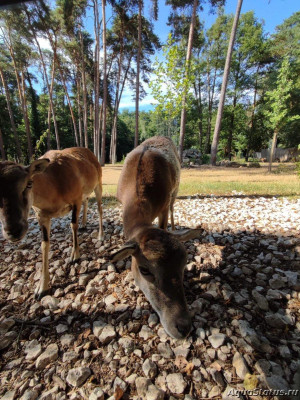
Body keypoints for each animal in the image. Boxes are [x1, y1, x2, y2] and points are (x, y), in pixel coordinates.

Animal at [0, 148, 103, 298]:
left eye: (29, 184)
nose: (14, 231)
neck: (54, 187)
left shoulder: (76, 199)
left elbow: (73, 225)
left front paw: (74, 256)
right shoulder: (41, 214)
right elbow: (44, 244)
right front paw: (41, 289)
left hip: (98, 182)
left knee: (99, 208)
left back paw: (100, 235)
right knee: (87, 200)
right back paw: (84, 224)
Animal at [110, 136, 199, 340]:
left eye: (184, 264)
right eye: (144, 269)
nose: (183, 327)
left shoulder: (164, 204)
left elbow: (164, 224)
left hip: (176, 189)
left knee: (174, 206)